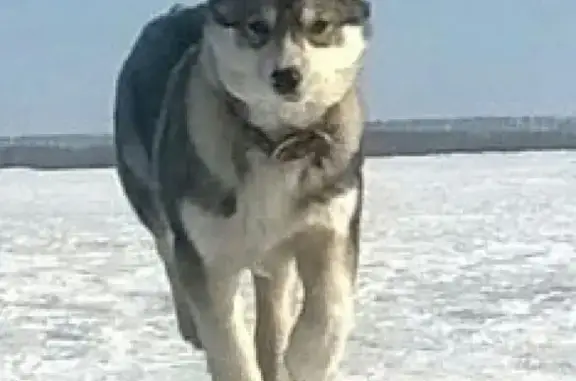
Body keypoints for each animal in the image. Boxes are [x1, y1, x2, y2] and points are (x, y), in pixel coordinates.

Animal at [114, 1, 372, 378]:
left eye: (320, 25)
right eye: (257, 26)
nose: (286, 76)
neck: (274, 145)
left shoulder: (331, 224)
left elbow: (332, 307)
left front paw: (305, 358)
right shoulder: (208, 253)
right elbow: (228, 345)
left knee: (274, 304)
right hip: (149, 194)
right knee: (167, 252)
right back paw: (191, 327)